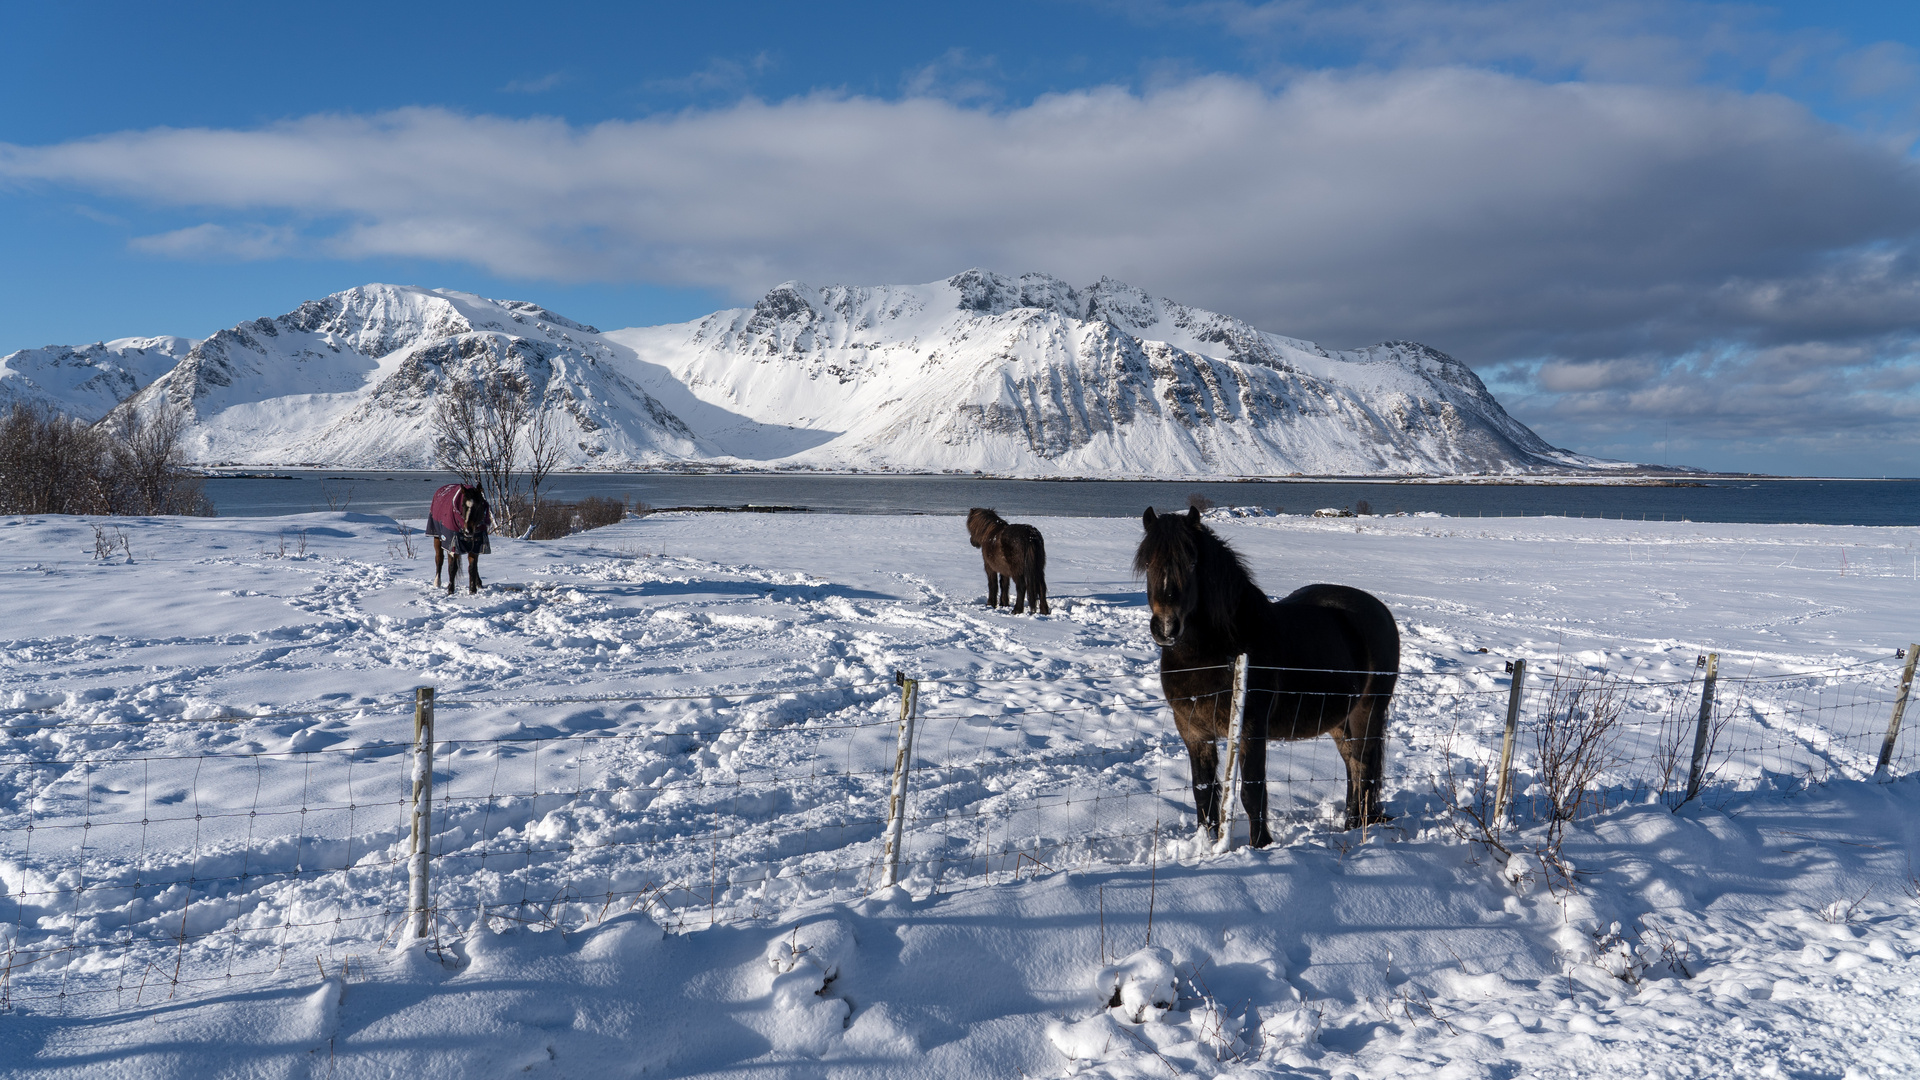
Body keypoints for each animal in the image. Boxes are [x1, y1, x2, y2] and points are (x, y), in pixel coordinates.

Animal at [1128, 503, 1405, 841]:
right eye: (1148, 563)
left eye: (1192, 562)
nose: (1167, 627)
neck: (1215, 653)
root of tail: (1379, 610)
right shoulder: (1193, 732)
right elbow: (1203, 792)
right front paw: (1206, 843)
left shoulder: (1251, 729)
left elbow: (1252, 791)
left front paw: (1260, 845)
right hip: (1339, 719)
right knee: (1353, 765)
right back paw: (1351, 825)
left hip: (1368, 711)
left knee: (1363, 767)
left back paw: (1355, 829)